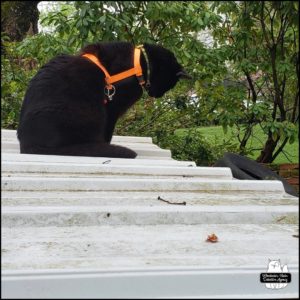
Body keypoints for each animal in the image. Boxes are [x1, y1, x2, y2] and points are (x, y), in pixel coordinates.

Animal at [17, 42, 190, 159]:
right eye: (170, 85)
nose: (157, 95)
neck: (140, 63)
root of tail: (28, 144)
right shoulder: (113, 107)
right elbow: (108, 131)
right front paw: (107, 145)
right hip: (92, 112)